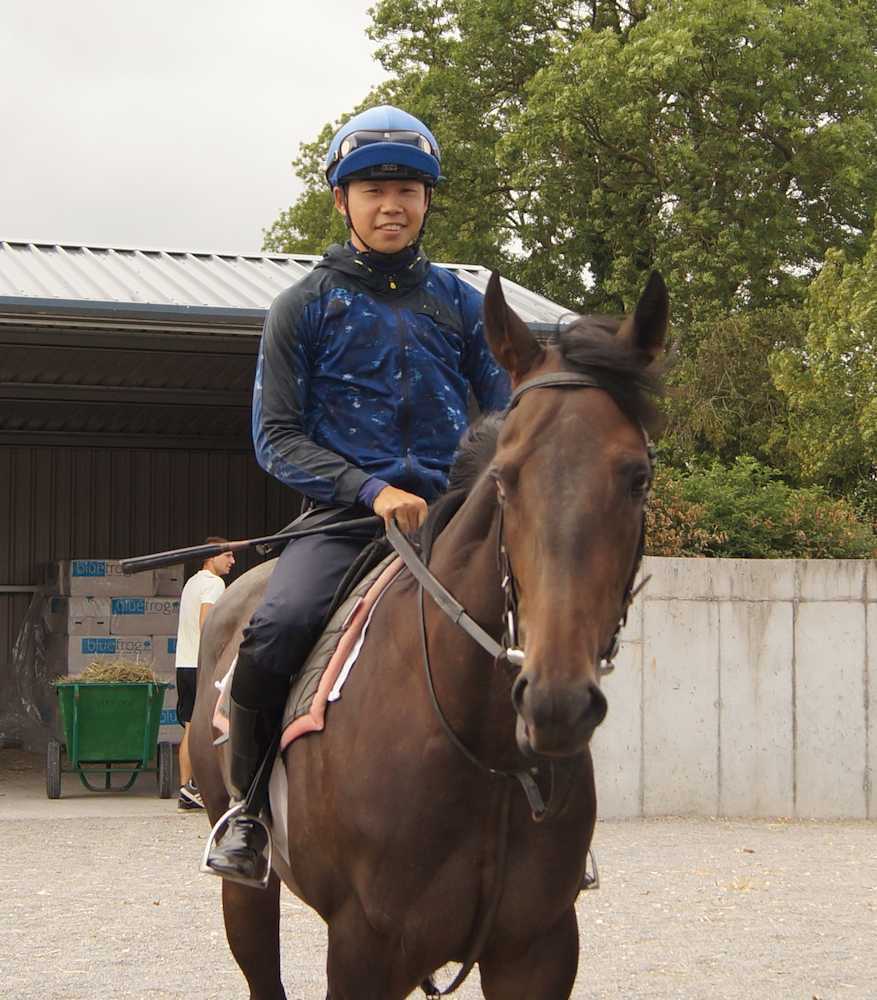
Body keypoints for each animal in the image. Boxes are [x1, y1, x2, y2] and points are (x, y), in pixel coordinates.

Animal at [189, 269, 668, 999]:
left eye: (636, 478)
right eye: (504, 478)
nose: (555, 701)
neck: (485, 751)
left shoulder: (539, 948)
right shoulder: (364, 948)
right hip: (247, 890)